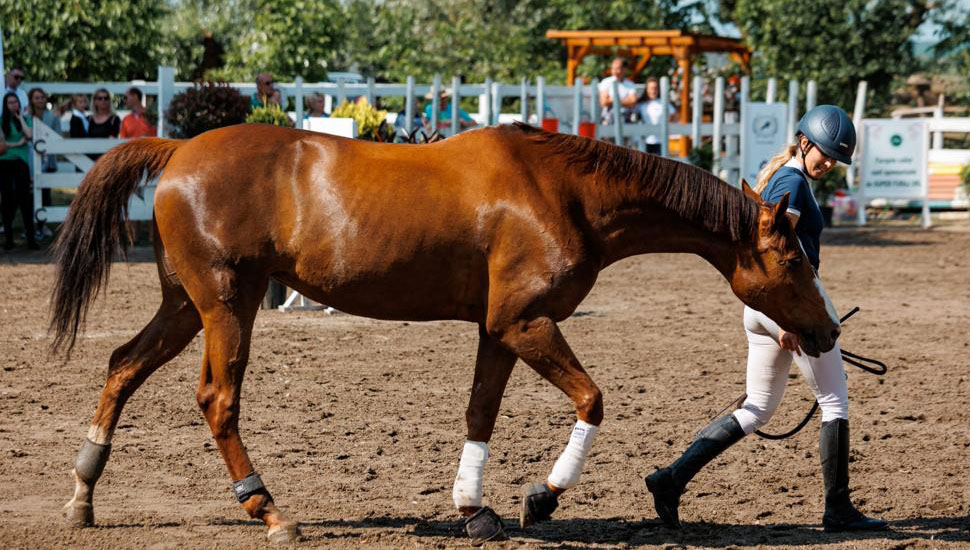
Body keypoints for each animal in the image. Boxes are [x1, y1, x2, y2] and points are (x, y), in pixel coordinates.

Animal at [51, 124, 840, 544]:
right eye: (796, 258)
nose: (828, 331)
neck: (564, 193)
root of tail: (179, 147)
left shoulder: (500, 330)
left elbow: (479, 412)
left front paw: (474, 507)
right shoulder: (526, 324)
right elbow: (592, 399)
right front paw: (542, 496)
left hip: (185, 306)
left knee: (122, 365)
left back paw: (84, 494)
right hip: (225, 306)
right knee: (217, 400)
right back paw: (268, 510)